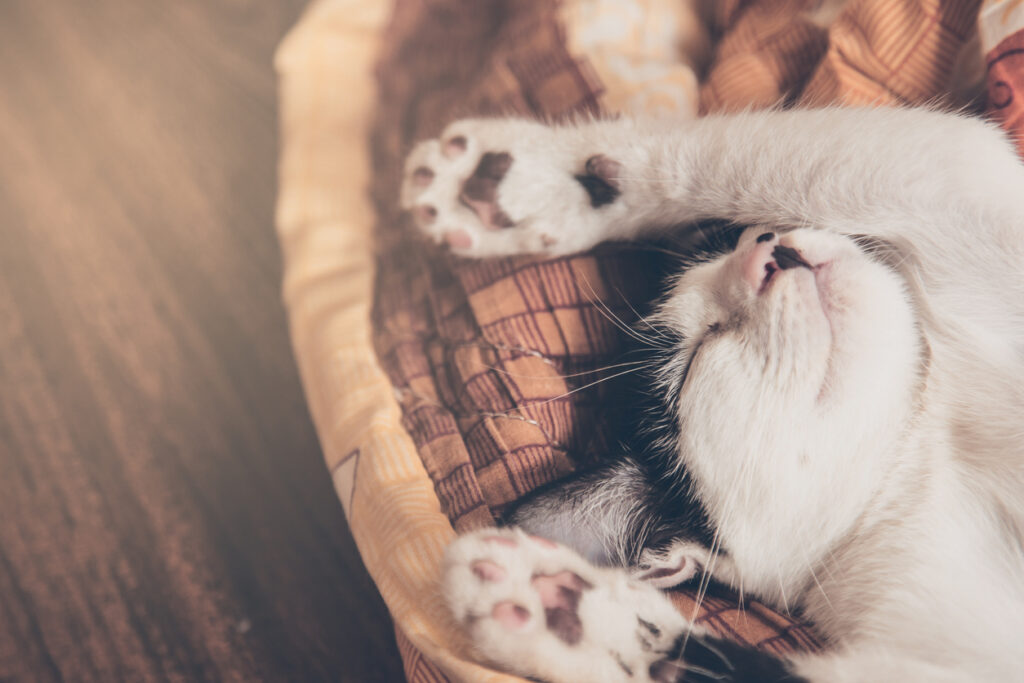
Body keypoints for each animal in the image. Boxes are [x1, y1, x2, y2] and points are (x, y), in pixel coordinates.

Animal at [397, 108, 1024, 683]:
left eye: (752, 233)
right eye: (695, 357)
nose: (771, 254)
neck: (919, 446)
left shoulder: (945, 186)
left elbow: (736, 158)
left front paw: (525, 181)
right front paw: (571, 616)